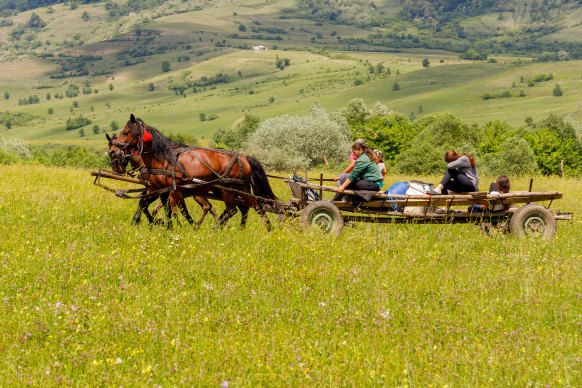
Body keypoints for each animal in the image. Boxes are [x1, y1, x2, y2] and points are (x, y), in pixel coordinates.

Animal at [114, 113, 278, 229]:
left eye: (126, 132)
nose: (114, 152)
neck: (162, 158)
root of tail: (243, 156)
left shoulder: (174, 190)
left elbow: (181, 210)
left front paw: (191, 226)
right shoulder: (158, 188)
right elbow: (148, 204)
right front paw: (155, 224)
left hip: (227, 188)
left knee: (233, 210)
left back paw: (216, 228)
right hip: (241, 188)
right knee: (255, 207)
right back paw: (265, 229)